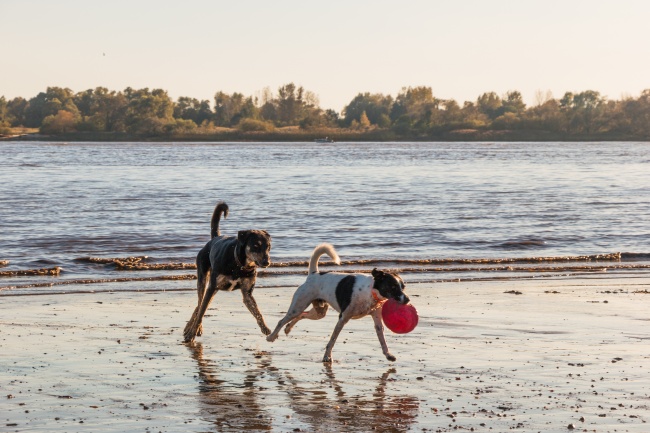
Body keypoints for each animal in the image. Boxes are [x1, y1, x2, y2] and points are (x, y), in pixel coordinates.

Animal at [182, 201, 270, 342]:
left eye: (268, 247)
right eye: (255, 246)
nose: (267, 262)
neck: (240, 265)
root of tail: (214, 239)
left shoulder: (247, 293)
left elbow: (257, 311)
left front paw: (265, 328)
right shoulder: (212, 286)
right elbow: (201, 312)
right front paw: (191, 334)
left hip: (215, 287)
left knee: (200, 304)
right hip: (204, 279)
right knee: (200, 302)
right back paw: (194, 328)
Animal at [266, 243, 408, 362]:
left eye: (403, 287)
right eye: (393, 287)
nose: (407, 300)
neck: (370, 291)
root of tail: (314, 274)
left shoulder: (377, 320)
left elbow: (382, 339)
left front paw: (388, 354)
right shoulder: (342, 318)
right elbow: (332, 340)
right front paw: (327, 356)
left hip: (319, 312)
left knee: (302, 315)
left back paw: (288, 328)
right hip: (298, 305)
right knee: (282, 320)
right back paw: (271, 337)